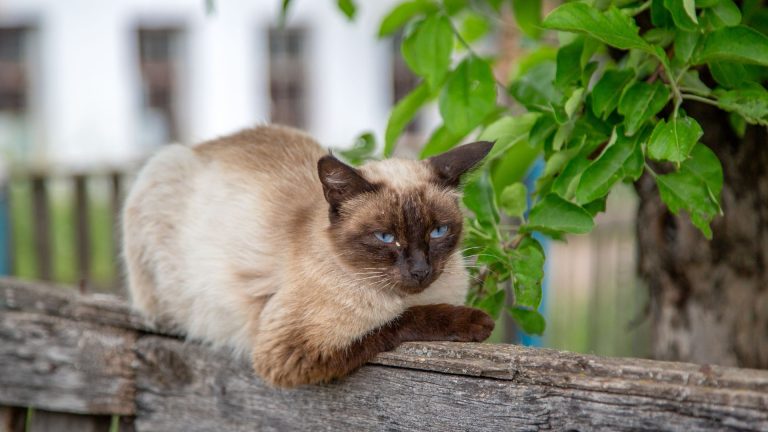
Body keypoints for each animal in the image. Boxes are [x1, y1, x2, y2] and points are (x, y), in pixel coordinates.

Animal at [120, 123, 492, 386]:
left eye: (438, 231)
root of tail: (201, 146)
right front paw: (476, 322)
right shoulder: (287, 350)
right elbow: (396, 321)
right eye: (386, 237)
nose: (420, 270)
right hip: (162, 168)